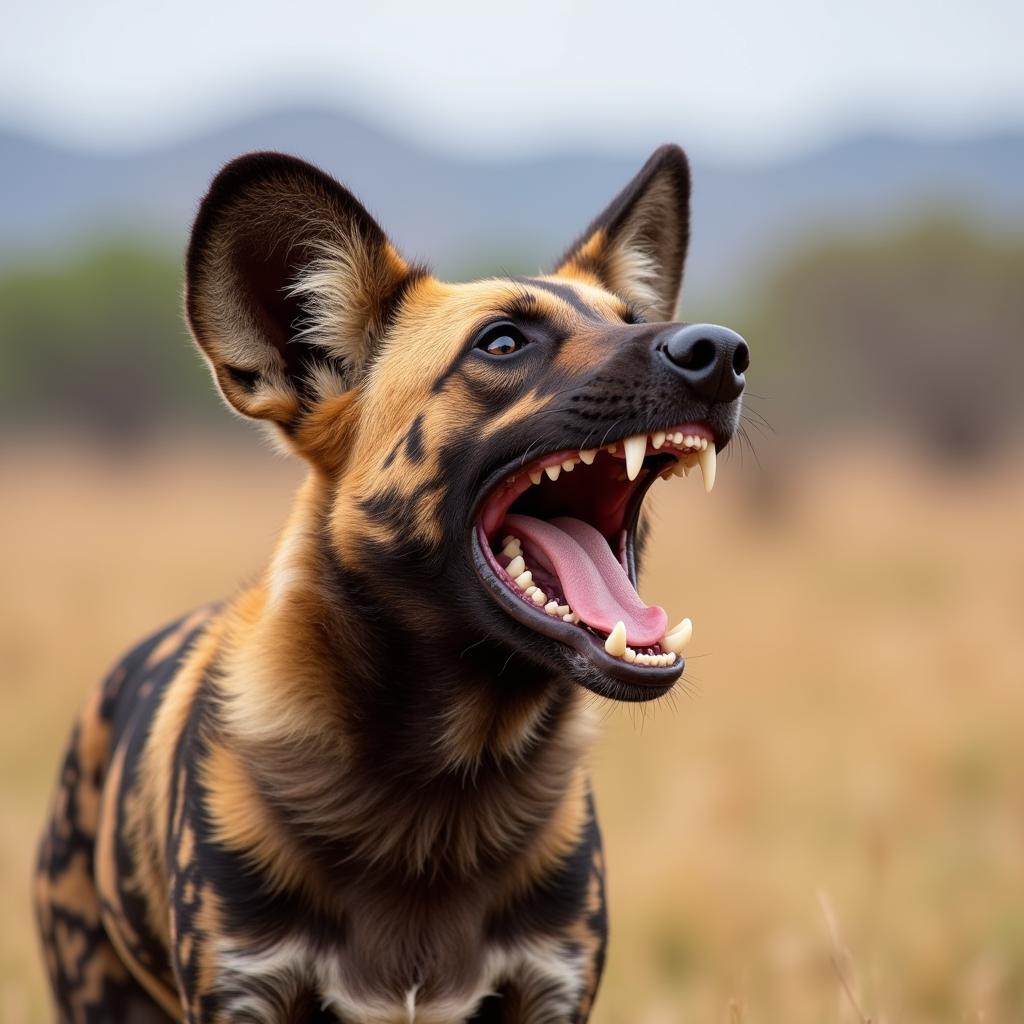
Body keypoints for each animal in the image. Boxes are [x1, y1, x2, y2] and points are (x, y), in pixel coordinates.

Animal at [36, 146, 749, 1024]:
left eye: (630, 316)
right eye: (502, 343)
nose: (722, 352)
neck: (442, 791)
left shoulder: (551, 989)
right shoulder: (245, 993)